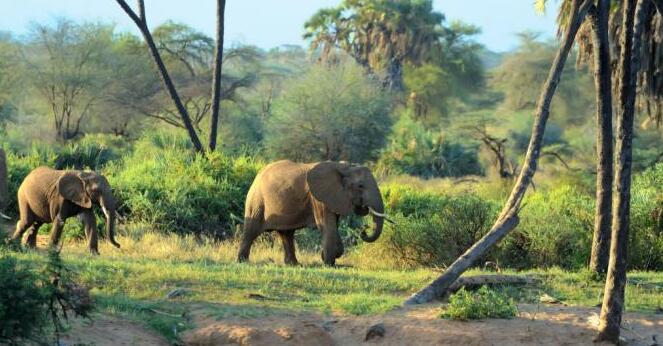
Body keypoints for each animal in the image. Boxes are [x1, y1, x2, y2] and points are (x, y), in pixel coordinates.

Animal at [239, 161, 390, 266]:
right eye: (360, 186)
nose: (364, 230)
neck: (343, 167)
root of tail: (257, 176)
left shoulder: (334, 197)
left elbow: (334, 226)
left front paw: (329, 256)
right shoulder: (318, 198)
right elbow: (327, 226)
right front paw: (328, 263)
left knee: (286, 234)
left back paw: (294, 265)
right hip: (256, 201)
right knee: (251, 230)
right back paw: (242, 261)